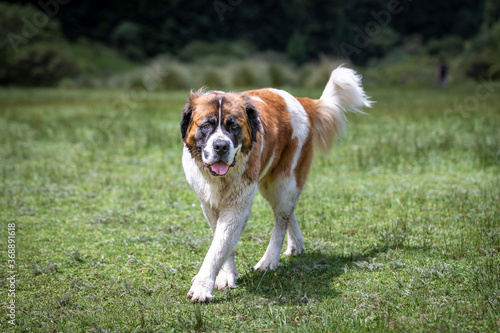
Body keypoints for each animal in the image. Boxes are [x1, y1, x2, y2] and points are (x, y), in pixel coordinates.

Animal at [180, 65, 372, 300]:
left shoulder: (237, 205)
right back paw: (296, 245)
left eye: (233, 127)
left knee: (281, 219)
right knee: (288, 211)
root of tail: (300, 100)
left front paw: (203, 286)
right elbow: (223, 240)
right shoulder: (209, 204)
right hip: (270, 185)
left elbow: (219, 246)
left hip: (284, 181)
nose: (221, 146)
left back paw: (269, 260)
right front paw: (227, 275)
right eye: (206, 126)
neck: (222, 178)